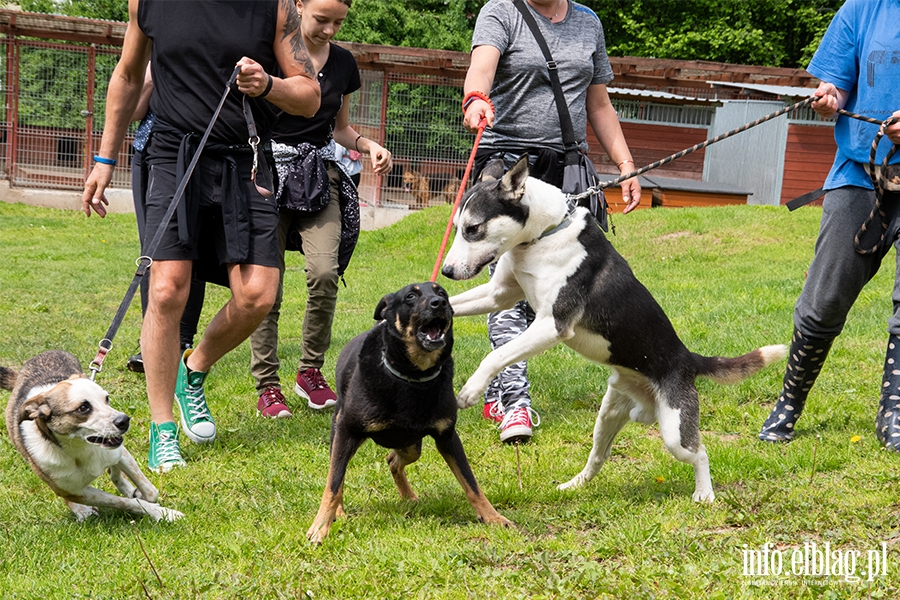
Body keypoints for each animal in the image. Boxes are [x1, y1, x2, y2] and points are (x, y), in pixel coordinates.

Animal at [2, 350, 183, 524]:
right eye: (83, 408)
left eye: (107, 398)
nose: (124, 420)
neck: (78, 449)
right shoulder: (76, 492)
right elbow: (125, 502)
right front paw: (162, 513)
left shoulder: (120, 453)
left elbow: (150, 491)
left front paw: (145, 499)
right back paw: (82, 510)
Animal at [306, 282, 510, 544]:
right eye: (411, 296)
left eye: (442, 293)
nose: (439, 303)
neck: (413, 376)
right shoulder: (347, 431)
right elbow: (333, 483)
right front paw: (321, 526)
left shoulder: (447, 436)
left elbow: (471, 483)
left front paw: (492, 517)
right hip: (341, 432)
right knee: (338, 469)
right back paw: (339, 511)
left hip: (412, 444)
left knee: (393, 460)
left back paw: (408, 495)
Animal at [442, 156, 788, 502]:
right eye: (457, 228)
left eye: (474, 229)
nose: (446, 270)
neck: (546, 234)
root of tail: (688, 358)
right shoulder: (499, 295)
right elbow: (455, 305)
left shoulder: (552, 325)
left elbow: (496, 356)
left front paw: (469, 390)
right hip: (608, 415)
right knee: (599, 456)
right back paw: (574, 485)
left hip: (674, 431)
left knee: (700, 452)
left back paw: (704, 494)